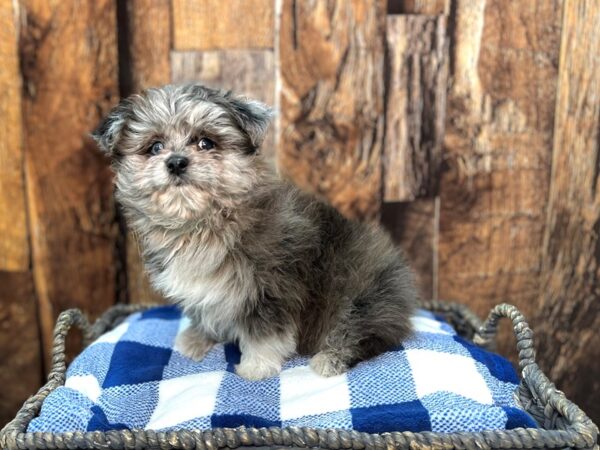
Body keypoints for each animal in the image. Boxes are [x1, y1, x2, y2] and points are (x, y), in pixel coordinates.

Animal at [92, 83, 418, 380]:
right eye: (155, 147)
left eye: (205, 143)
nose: (175, 162)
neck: (203, 224)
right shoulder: (207, 290)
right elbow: (204, 312)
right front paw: (198, 338)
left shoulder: (272, 288)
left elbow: (265, 334)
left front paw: (256, 367)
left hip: (362, 297)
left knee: (365, 333)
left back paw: (331, 358)